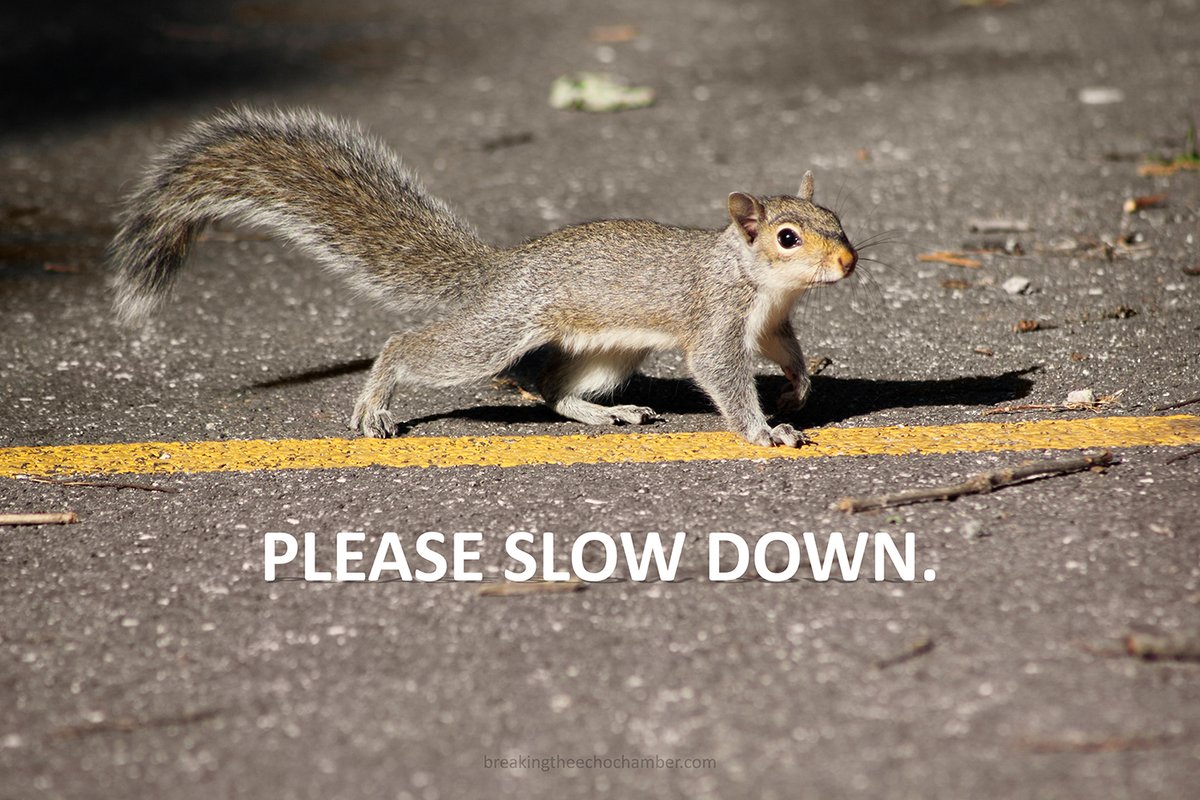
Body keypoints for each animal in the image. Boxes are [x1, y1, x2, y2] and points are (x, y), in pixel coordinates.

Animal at [109, 107, 857, 448]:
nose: (849, 263)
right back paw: (376, 401)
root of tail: (501, 268)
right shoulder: (714, 321)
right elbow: (722, 376)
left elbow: (786, 354)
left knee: (551, 389)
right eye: (788, 238)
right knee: (412, 347)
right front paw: (766, 431)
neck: (753, 275)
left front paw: (798, 388)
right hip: (499, 332)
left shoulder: (773, 322)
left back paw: (606, 410)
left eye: (837, 219)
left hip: (608, 353)